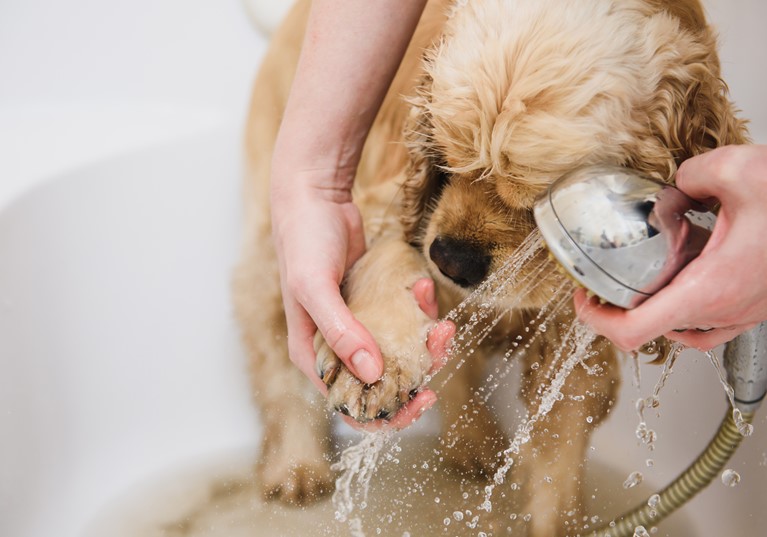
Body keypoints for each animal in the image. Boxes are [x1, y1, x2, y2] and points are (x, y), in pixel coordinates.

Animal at [234, 2, 752, 532]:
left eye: (539, 201)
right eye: (445, 156)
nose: (449, 260)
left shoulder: (577, 337)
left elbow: (558, 456)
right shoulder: (387, 201)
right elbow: (386, 257)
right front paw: (374, 367)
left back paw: (473, 444)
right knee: (277, 357)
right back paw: (297, 467)